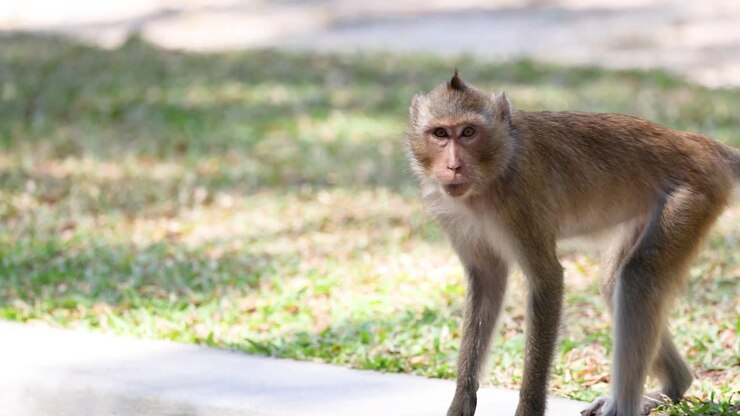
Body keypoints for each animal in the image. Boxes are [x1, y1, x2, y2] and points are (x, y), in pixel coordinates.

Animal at [406, 71, 740, 416]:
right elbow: (486, 281)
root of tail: (699, 144)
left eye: (468, 132)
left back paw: (625, 405)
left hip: (693, 195)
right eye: (440, 133)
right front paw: (461, 401)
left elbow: (548, 280)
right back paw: (673, 386)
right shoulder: (452, 215)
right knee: (616, 282)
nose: (453, 165)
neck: (492, 175)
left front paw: (528, 408)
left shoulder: (521, 201)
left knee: (638, 278)